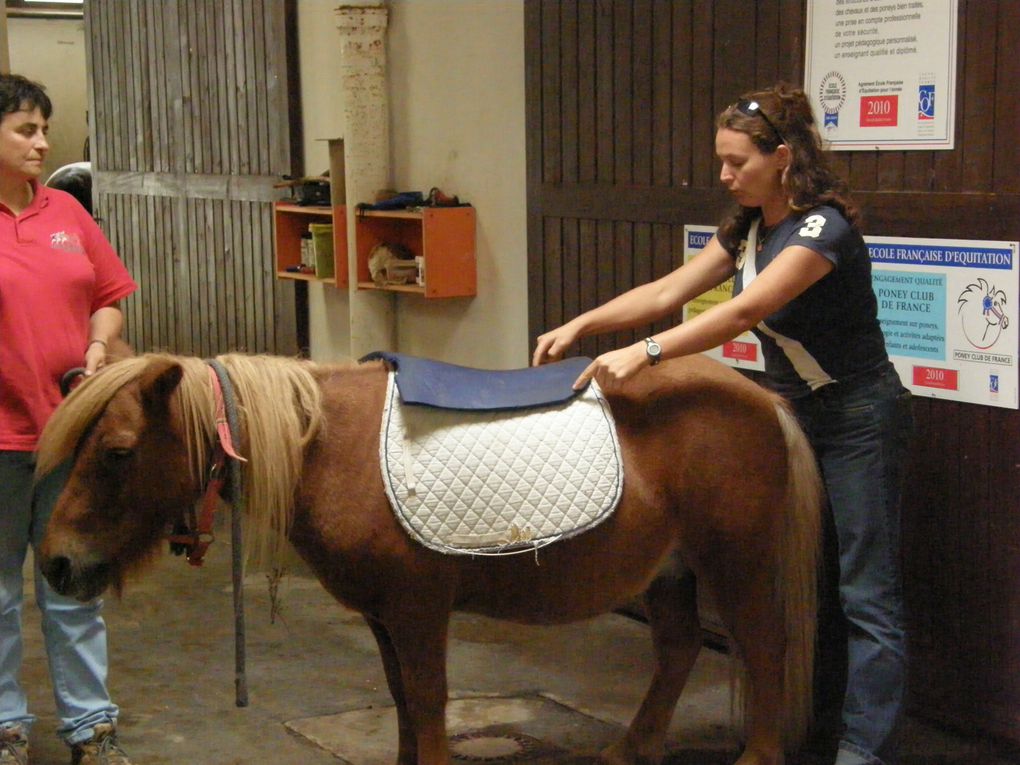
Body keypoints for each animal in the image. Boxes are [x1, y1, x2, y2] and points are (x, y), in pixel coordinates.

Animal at [35, 352, 824, 765]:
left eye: (118, 451)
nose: (56, 564)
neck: (329, 447)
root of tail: (760, 397)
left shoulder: (417, 611)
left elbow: (426, 698)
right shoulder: (383, 615)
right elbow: (401, 700)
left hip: (735, 562)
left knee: (763, 648)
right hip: (670, 570)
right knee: (681, 648)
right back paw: (632, 749)